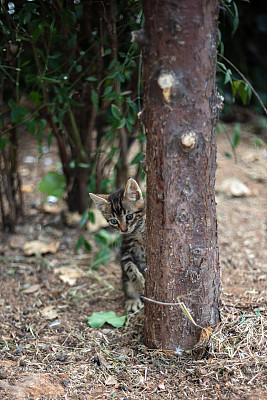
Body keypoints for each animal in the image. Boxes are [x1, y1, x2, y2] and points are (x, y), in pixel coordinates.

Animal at [90, 179, 146, 312]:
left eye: (129, 216)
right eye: (114, 221)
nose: (123, 230)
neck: (137, 231)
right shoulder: (124, 251)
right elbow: (129, 267)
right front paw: (139, 284)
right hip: (125, 279)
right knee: (127, 284)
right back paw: (132, 299)